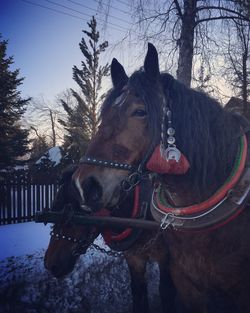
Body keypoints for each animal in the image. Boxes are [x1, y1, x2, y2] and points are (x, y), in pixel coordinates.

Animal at [43, 167, 176, 312]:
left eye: (73, 211)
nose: (50, 264)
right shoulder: (134, 257)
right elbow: (138, 291)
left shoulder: (165, 256)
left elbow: (166, 291)